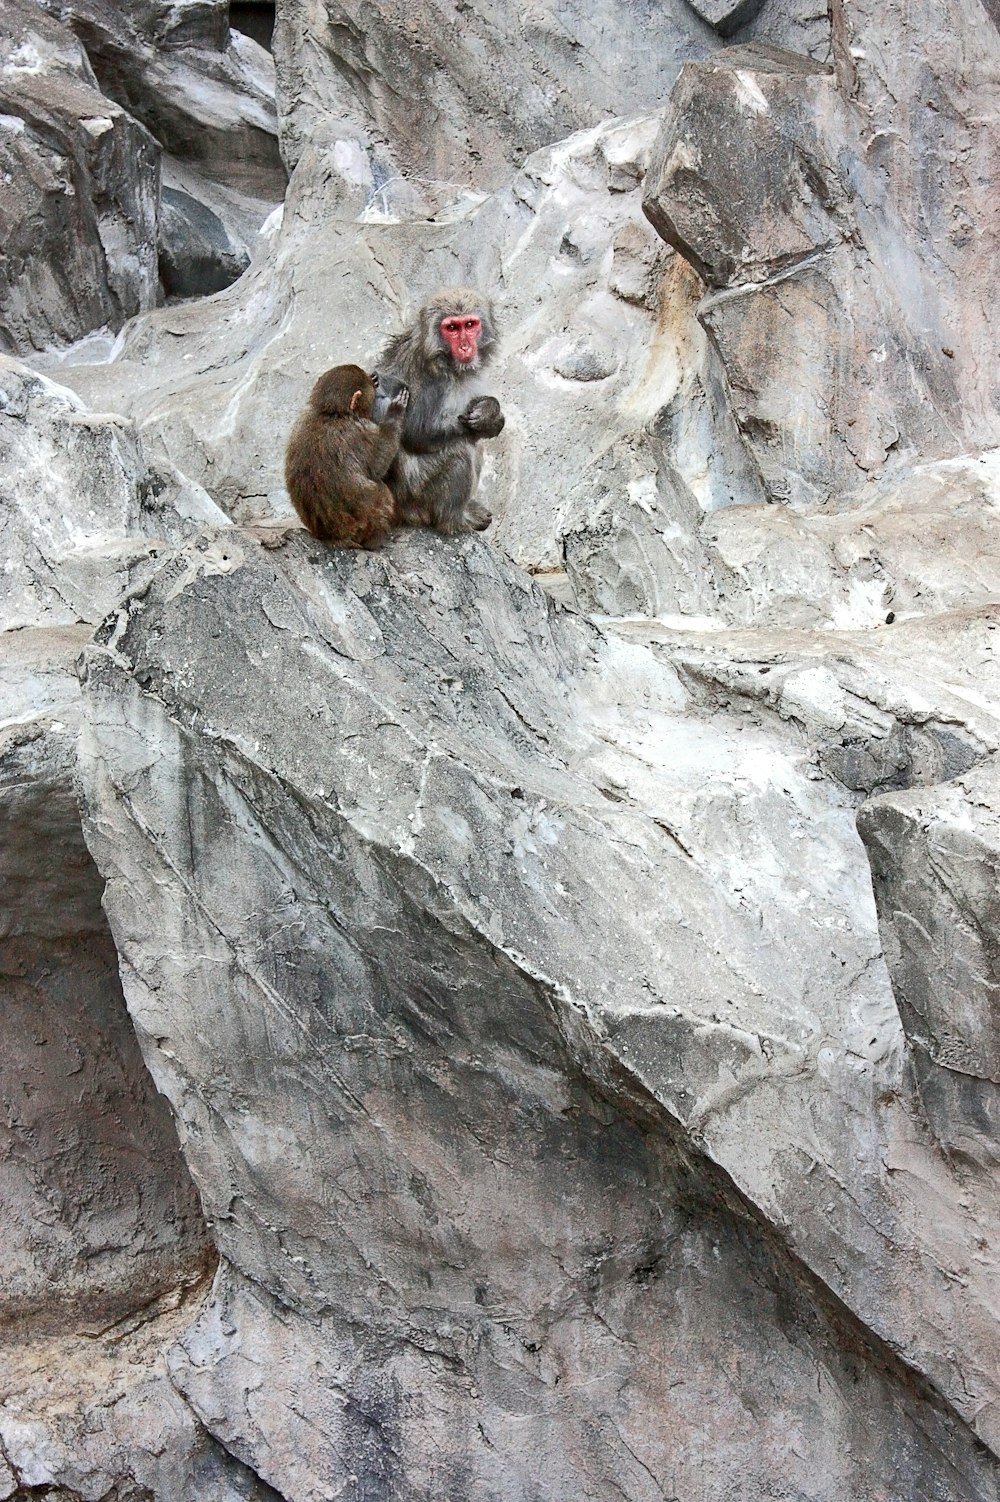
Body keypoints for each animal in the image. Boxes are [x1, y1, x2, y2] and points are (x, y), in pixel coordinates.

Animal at [282, 360, 408, 549]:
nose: (374, 378)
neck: (332, 413)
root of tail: (332, 536)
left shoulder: (301, 421)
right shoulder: (361, 432)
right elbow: (378, 465)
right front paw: (395, 412)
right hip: (364, 526)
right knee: (382, 492)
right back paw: (375, 542)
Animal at [369, 283, 501, 537]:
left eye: (470, 325)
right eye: (451, 328)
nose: (465, 347)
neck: (448, 363)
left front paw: (492, 415)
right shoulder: (431, 380)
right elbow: (416, 432)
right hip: (418, 494)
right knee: (461, 448)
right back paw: (454, 520)